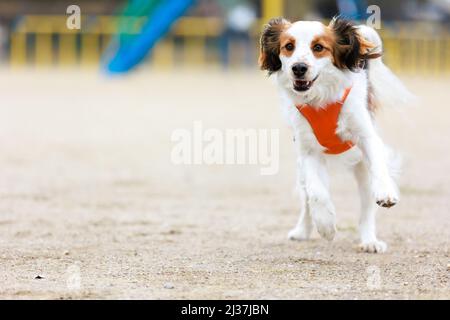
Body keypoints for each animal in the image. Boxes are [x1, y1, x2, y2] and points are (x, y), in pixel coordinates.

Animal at [258, 16, 414, 252]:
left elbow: (379, 166)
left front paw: (386, 192)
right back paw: (303, 230)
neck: (321, 99)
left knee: (366, 209)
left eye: (318, 47)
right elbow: (317, 193)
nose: (298, 68)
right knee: (307, 200)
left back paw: (369, 241)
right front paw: (326, 225)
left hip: (362, 170)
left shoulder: (366, 135)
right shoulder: (308, 151)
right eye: (289, 46)